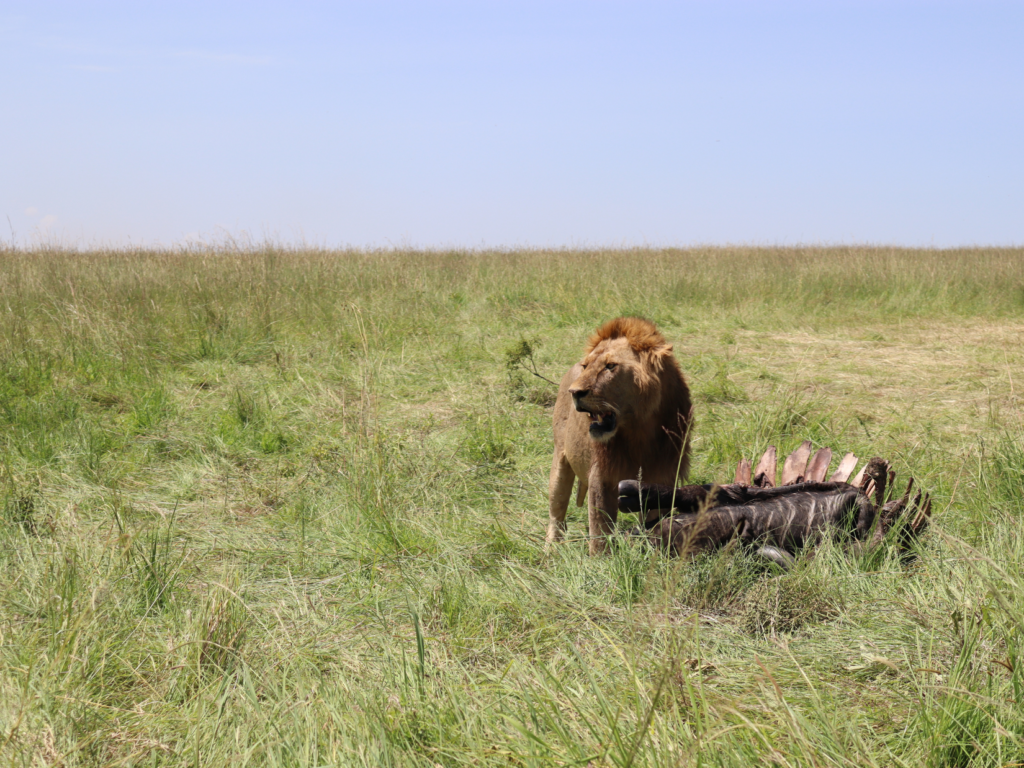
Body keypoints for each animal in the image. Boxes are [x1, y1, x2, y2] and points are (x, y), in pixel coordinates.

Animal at [548, 319, 692, 552]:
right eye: (586, 366)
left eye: (610, 366)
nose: (574, 392)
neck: (639, 430)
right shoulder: (602, 476)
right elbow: (600, 530)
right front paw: (601, 560)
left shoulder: (664, 475)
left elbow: (655, 518)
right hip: (560, 462)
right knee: (556, 514)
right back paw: (551, 549)